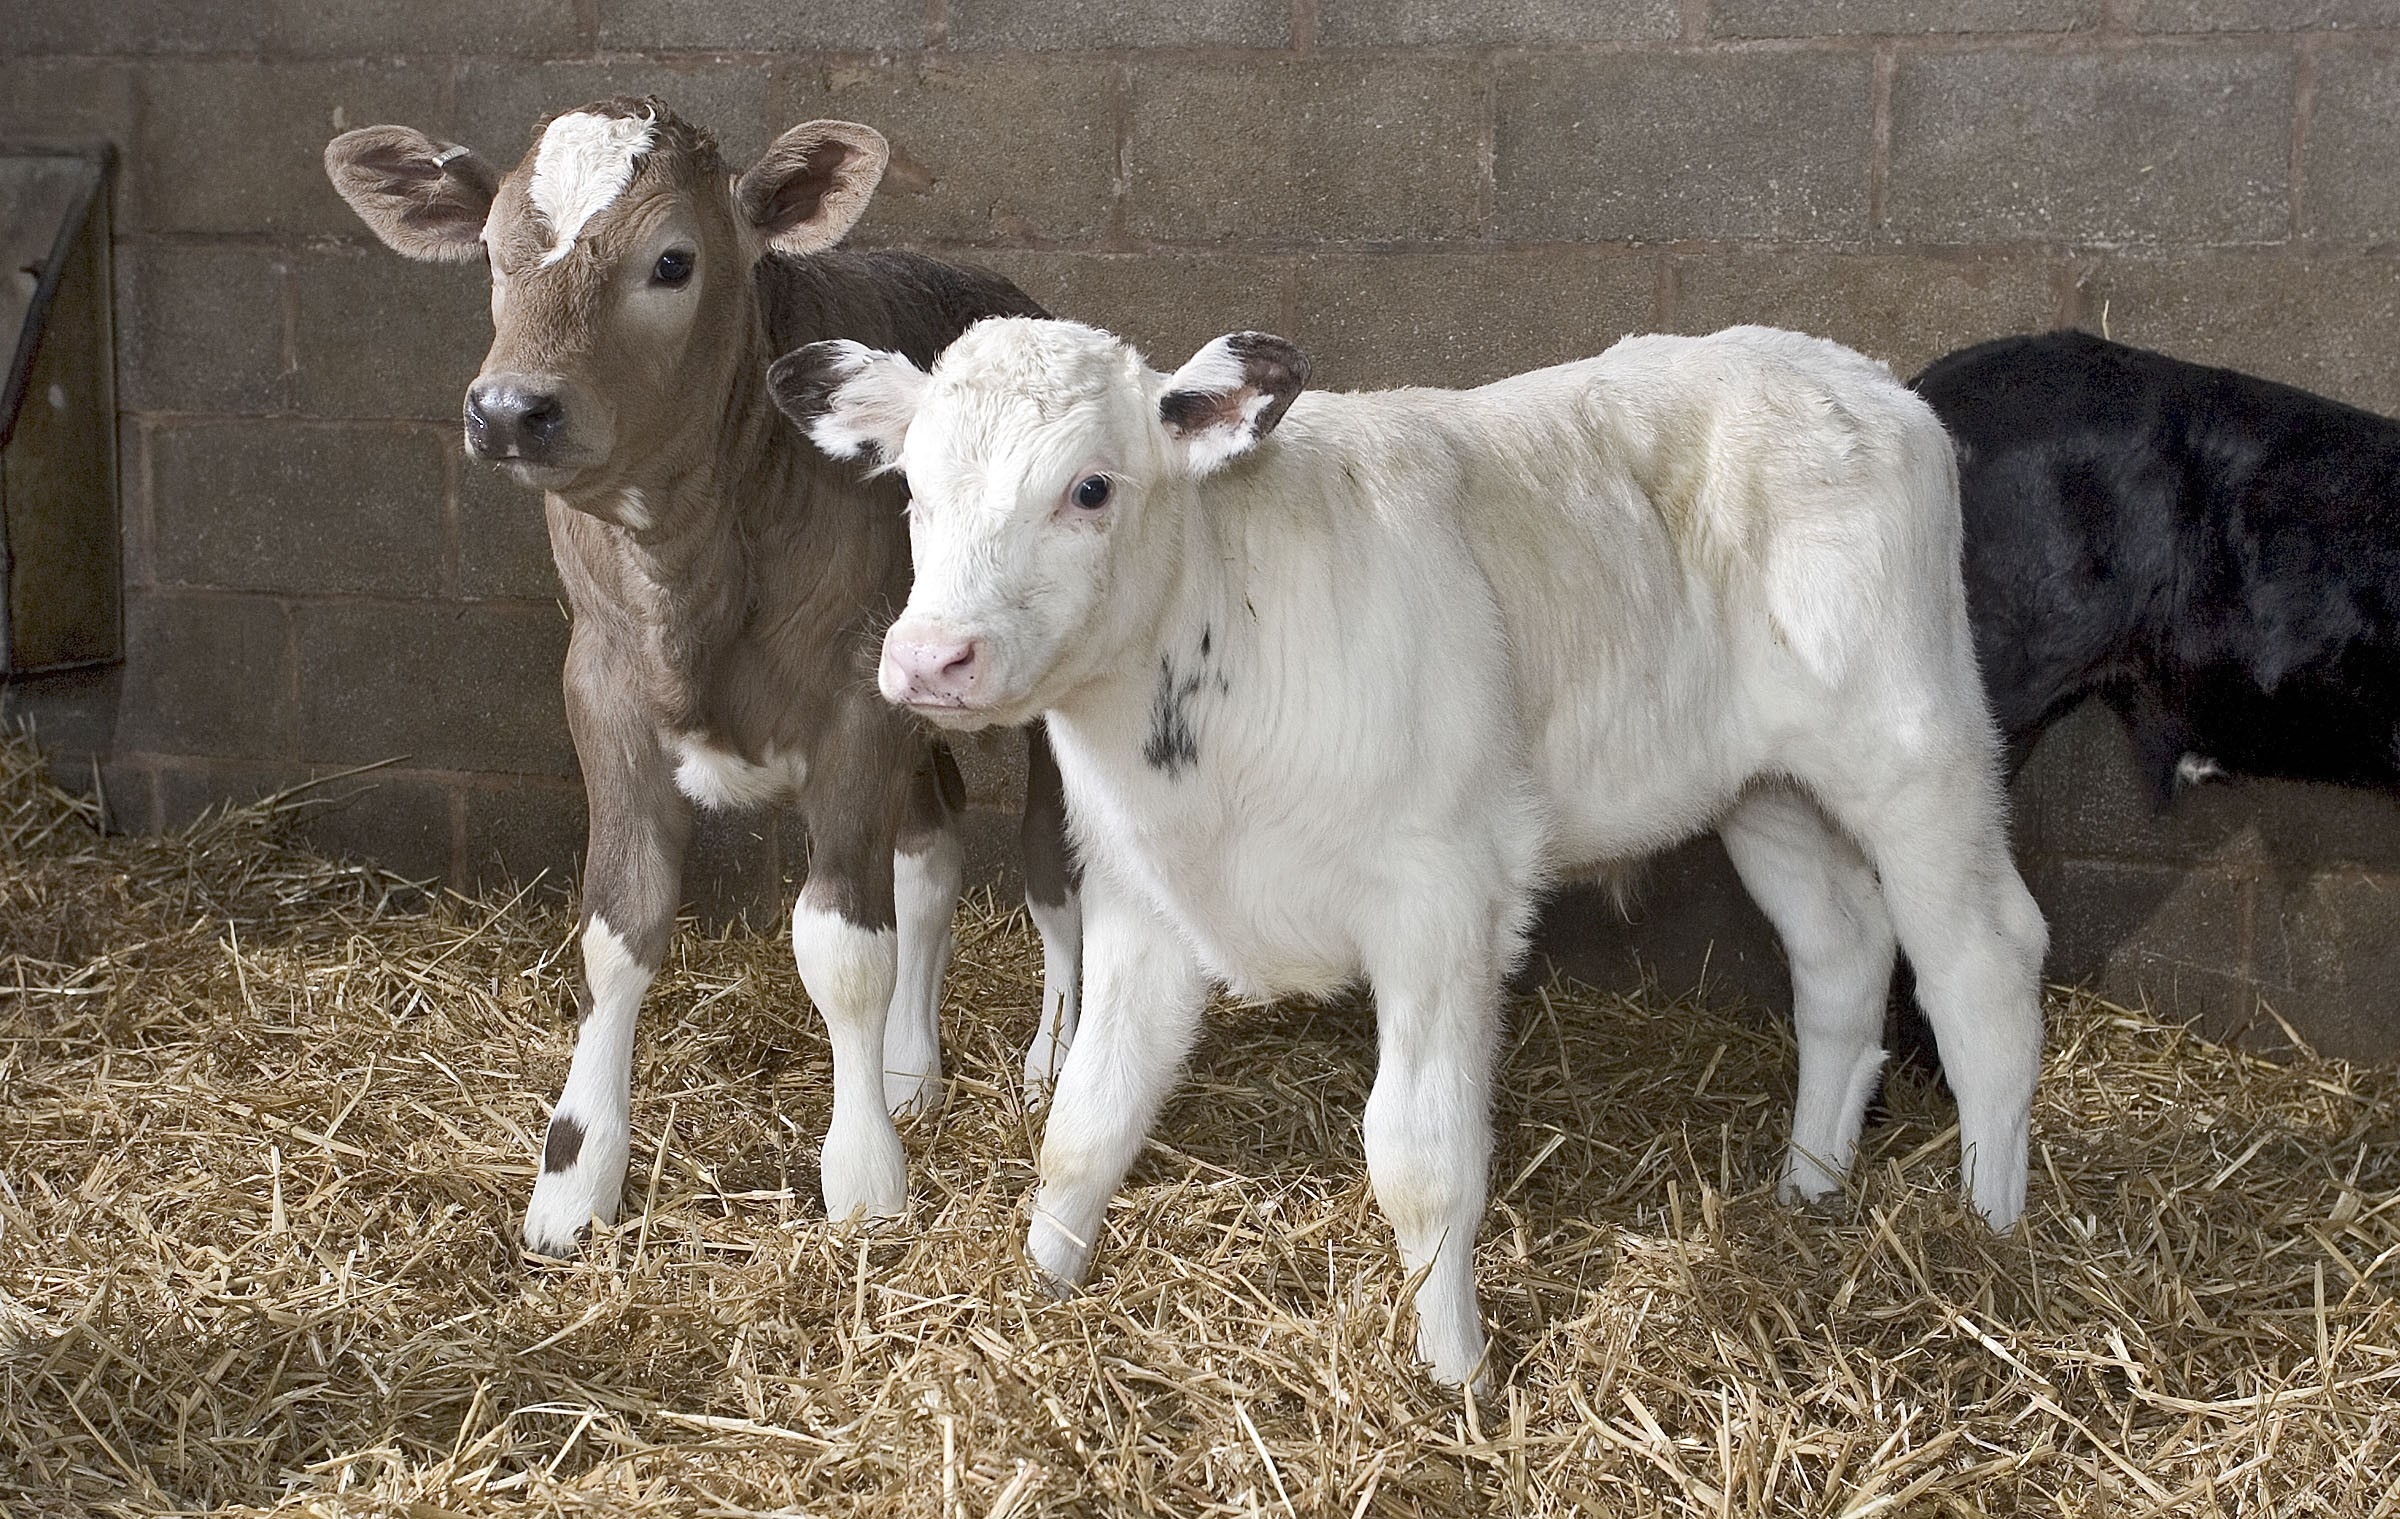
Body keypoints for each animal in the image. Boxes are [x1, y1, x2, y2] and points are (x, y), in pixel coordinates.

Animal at [323, 99, 1082, 1257]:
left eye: (672, 261)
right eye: (492, 254)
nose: (509, 410)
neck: (694, 574)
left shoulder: (854, 696)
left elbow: (840, 944)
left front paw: (865, 1180)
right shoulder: (601, 689)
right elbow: (617, 931)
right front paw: (573, 1183)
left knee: (1056, 872)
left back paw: (1051, 1067)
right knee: (932, 844)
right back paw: (912, 1070)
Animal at [769, 317, 2049, 1388]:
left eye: (1089, 488)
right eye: (914, 489)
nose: (930, 659)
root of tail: (1861, 377)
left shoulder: (1444, 900)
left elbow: (1421, 1156)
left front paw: (1456, 1372)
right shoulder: (1143, 897)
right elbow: (1089, 1116)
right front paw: (1040, 1290)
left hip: (1912, 747)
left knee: (1983, 963)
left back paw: (1993, 1231)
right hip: (1764, 786)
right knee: (1841, 953)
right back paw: (1809, 1185)